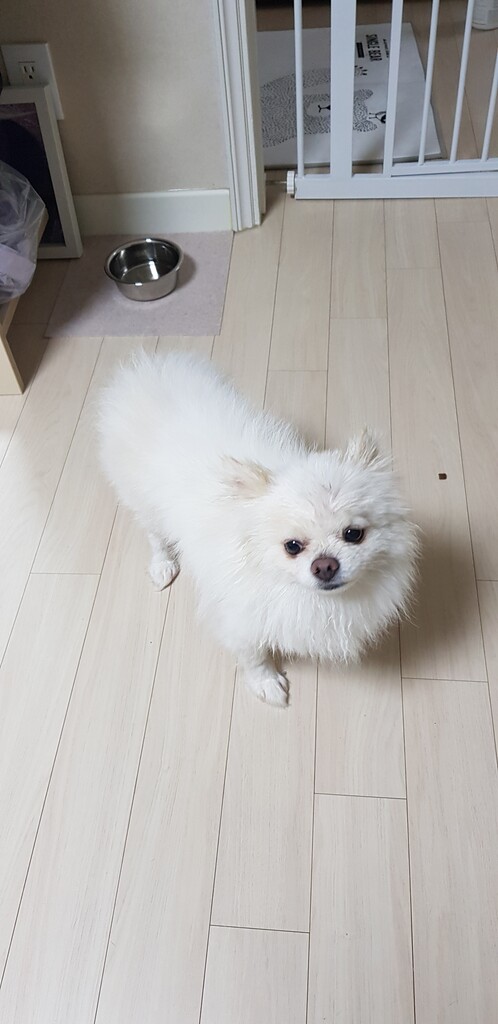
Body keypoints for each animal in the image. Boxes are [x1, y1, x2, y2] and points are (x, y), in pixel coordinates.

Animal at [98, 350, 418, 707]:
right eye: (292, 546)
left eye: (353, 534)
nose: (325, 565)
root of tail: (147, 372)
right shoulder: (239, 618)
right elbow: (253, 656)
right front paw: (268, 684)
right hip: (143, 502)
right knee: (155, 535)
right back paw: (163, 564)